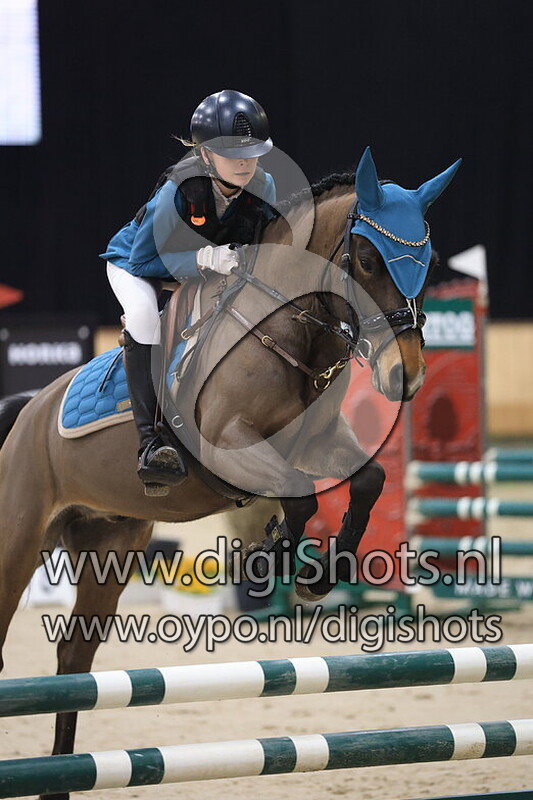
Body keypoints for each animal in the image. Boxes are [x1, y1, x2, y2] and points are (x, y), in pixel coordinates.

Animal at [0, 147, 459, 794]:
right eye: (368, 259)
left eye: (430, 261)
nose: (407, 376)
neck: (290, 326)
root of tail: (29, 411)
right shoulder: (230, 443)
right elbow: (299, 500)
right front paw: (272, 561)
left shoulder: (319, 441)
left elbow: (366, 482)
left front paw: (323, 574)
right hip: (18, 539)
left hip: (109, 543)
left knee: (74, 662)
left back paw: (62, 780)